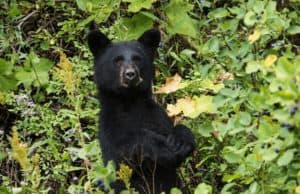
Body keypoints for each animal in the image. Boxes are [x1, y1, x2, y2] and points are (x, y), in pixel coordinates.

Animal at [87, 24, 195, 194]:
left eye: (137, 58)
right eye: (117, 60)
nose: (130, 74)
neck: (130, 102)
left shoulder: (156, 116)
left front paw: (180, 140)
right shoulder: (110, 126)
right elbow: (122, 153)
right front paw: (161, 147)